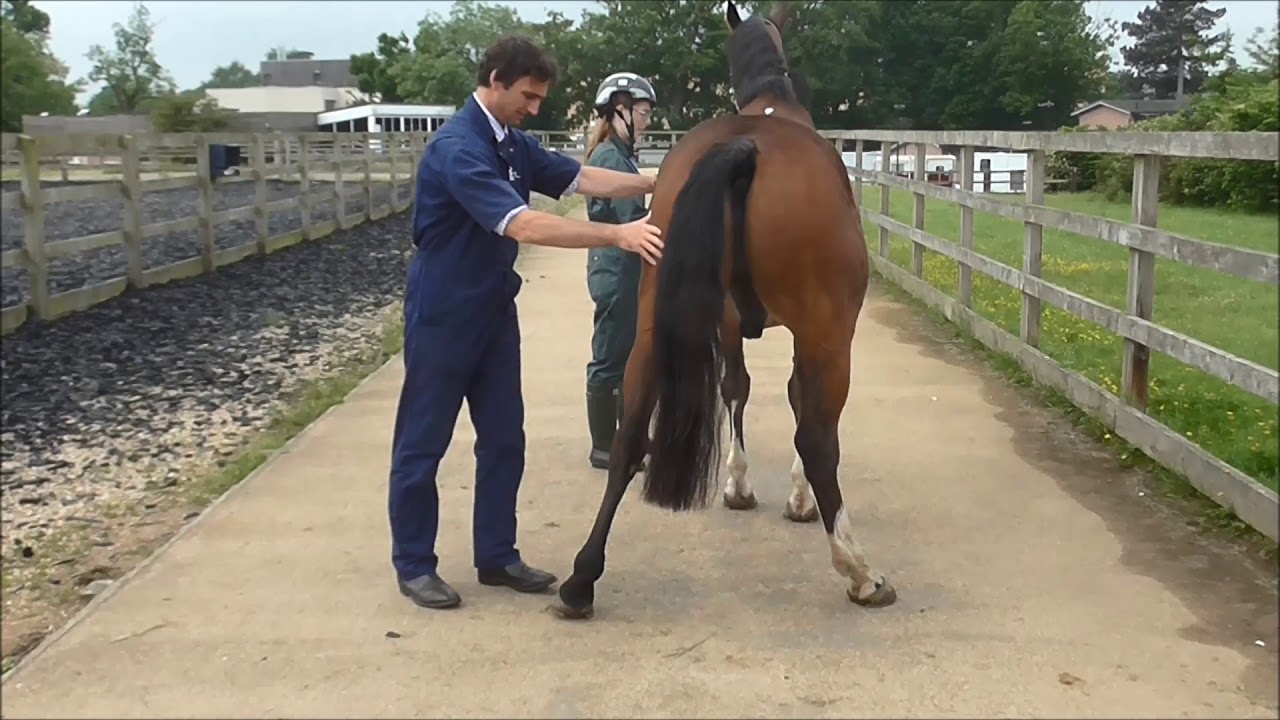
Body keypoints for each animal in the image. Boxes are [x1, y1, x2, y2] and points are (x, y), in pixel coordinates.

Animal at [551, 0, 895, 621]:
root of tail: (747, 150)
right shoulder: (810, 333)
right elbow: (796, 403)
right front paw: (798, 499)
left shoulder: (729, 322)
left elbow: (737, 388)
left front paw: (737, 486)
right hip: (831, 334)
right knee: (818, 439)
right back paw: (859, 572)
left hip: (650, 327)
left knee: (630, 436)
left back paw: (581, 579)